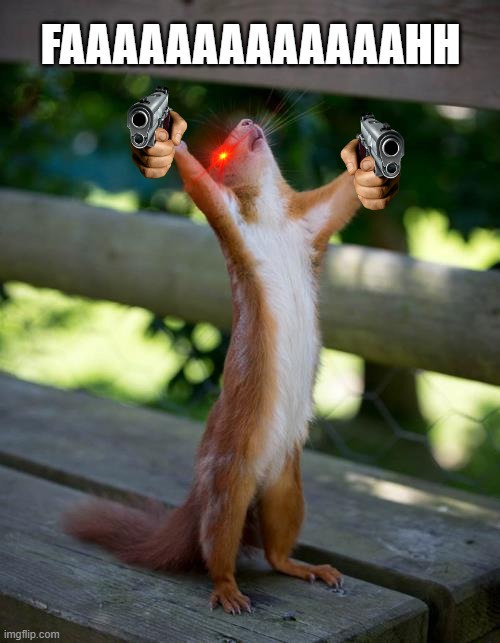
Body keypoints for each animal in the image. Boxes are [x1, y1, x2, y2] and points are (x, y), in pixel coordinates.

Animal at [65, 118, 399, 614]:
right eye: (222, 148)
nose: (246, 123)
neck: (272, 215)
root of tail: (199, 496)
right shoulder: (230, 219)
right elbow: (201, 188)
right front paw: (175, 146)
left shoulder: (310, 221)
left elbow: (341, 199)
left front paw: (364, 163)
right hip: (228, 486)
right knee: (216, 549)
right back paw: (228, 590)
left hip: (287, 488)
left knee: (276, 551)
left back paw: (308, 568)